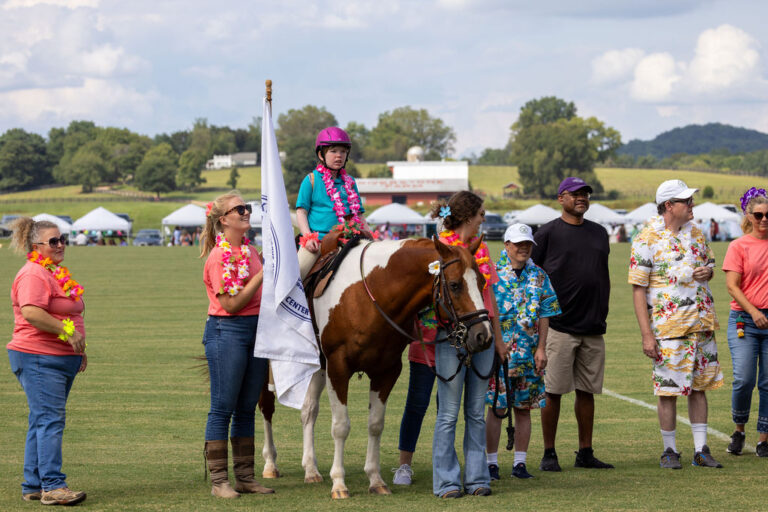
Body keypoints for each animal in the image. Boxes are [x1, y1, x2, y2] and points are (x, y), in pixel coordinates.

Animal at [286, 238, 492, 498]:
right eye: (454, 285)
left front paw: (375, 480)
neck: (369, 296)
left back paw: (311, 469)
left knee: (309, 409)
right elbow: (341, 426)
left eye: (482, 282)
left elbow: (375, 425)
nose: (483, 335)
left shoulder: (387, 371)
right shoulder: (338, 367)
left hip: (319, 366)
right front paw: (339, 483)